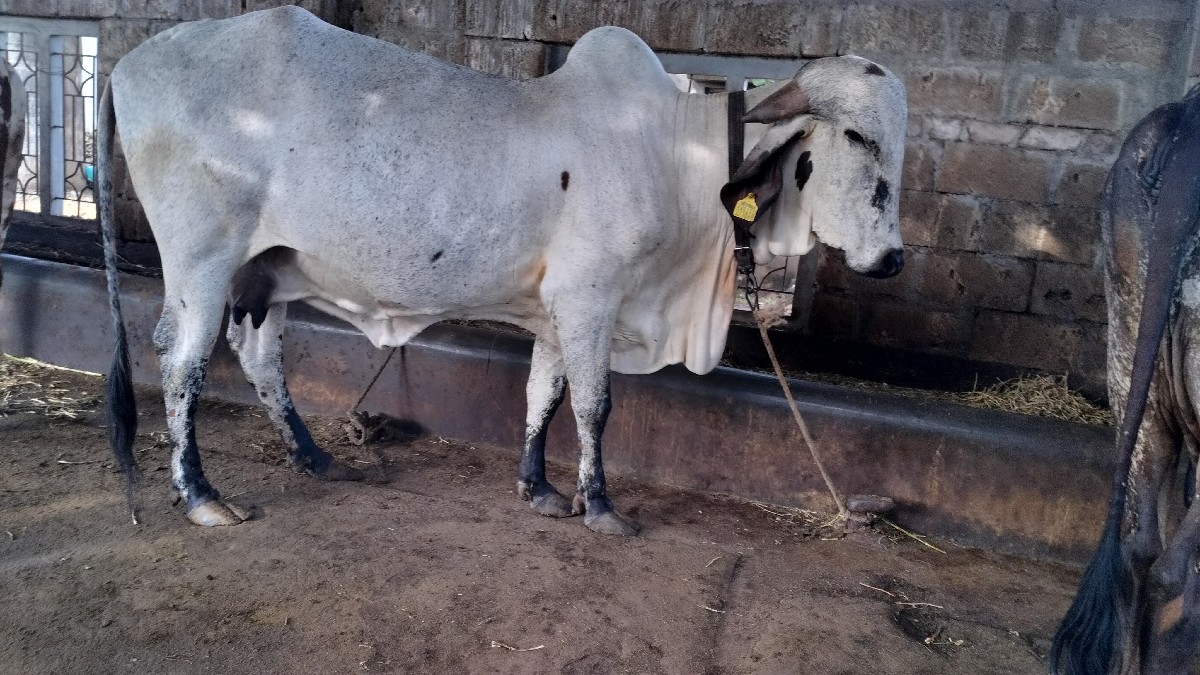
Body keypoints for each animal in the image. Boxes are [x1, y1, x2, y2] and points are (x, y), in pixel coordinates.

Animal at [99, 7, 907, 534]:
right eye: (858, 138)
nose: (893, 258)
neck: (677, 155)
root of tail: (126, 65)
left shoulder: (559, 305)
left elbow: (542, 395)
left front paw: (539, 486)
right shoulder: (590, 299)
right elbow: (593, 406)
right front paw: (600, 506)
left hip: (266, 271)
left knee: (258, 355)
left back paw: (314, 456)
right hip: (203, 262)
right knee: (181, 361)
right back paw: (201, 494)